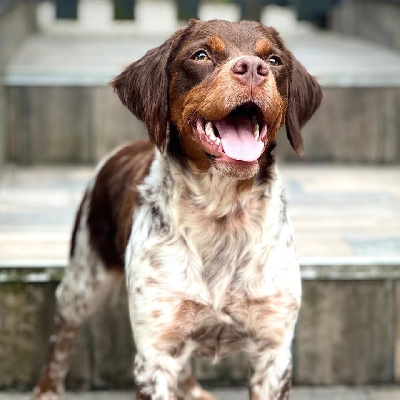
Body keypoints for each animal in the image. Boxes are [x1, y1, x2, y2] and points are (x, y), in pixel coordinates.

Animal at [33, 18, 322, 400]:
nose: (253, 69)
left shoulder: (272, 352)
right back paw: (47, 390)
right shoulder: (154, 352)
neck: (220, 214)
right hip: (83, 277)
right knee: (62, 334)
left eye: (273, 60)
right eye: (200, 55)